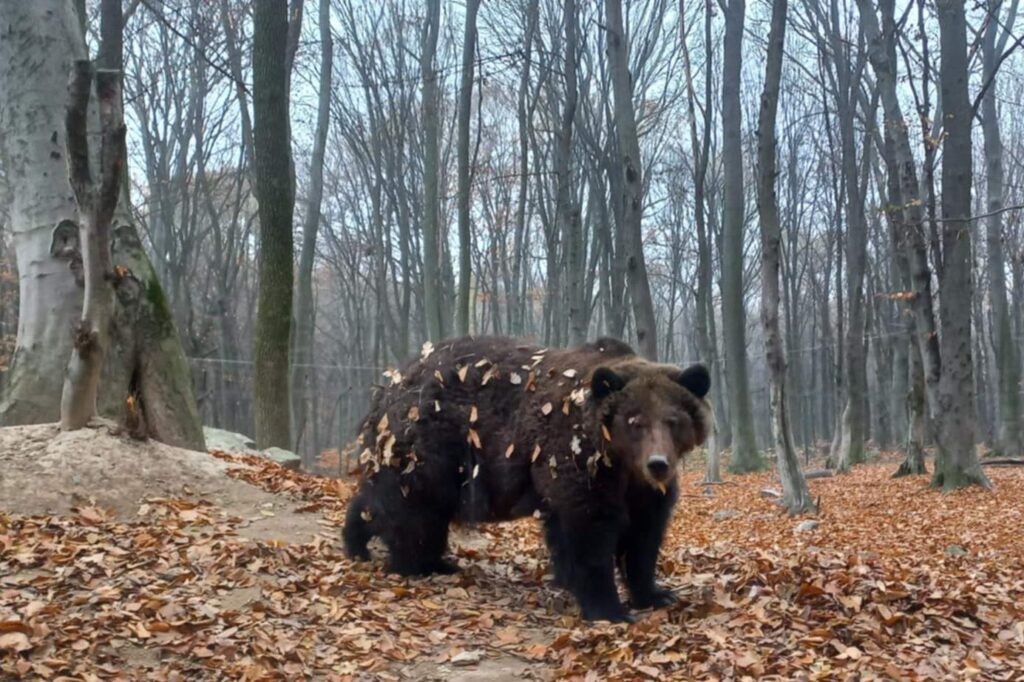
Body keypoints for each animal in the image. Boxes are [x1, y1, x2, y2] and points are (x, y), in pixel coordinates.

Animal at [339, 333, 708, 622]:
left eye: (673, 420)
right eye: (635, 422)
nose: (658, 463)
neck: (620, 464)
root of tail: (391, 384)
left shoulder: (641, 490)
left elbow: (644, 535)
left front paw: (657, 593)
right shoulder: (574, 460)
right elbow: (590, 531)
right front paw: (609, 609)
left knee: (383, 501)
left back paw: (361, 543)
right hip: (433, 443)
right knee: (413, 511)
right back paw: (421, 563)